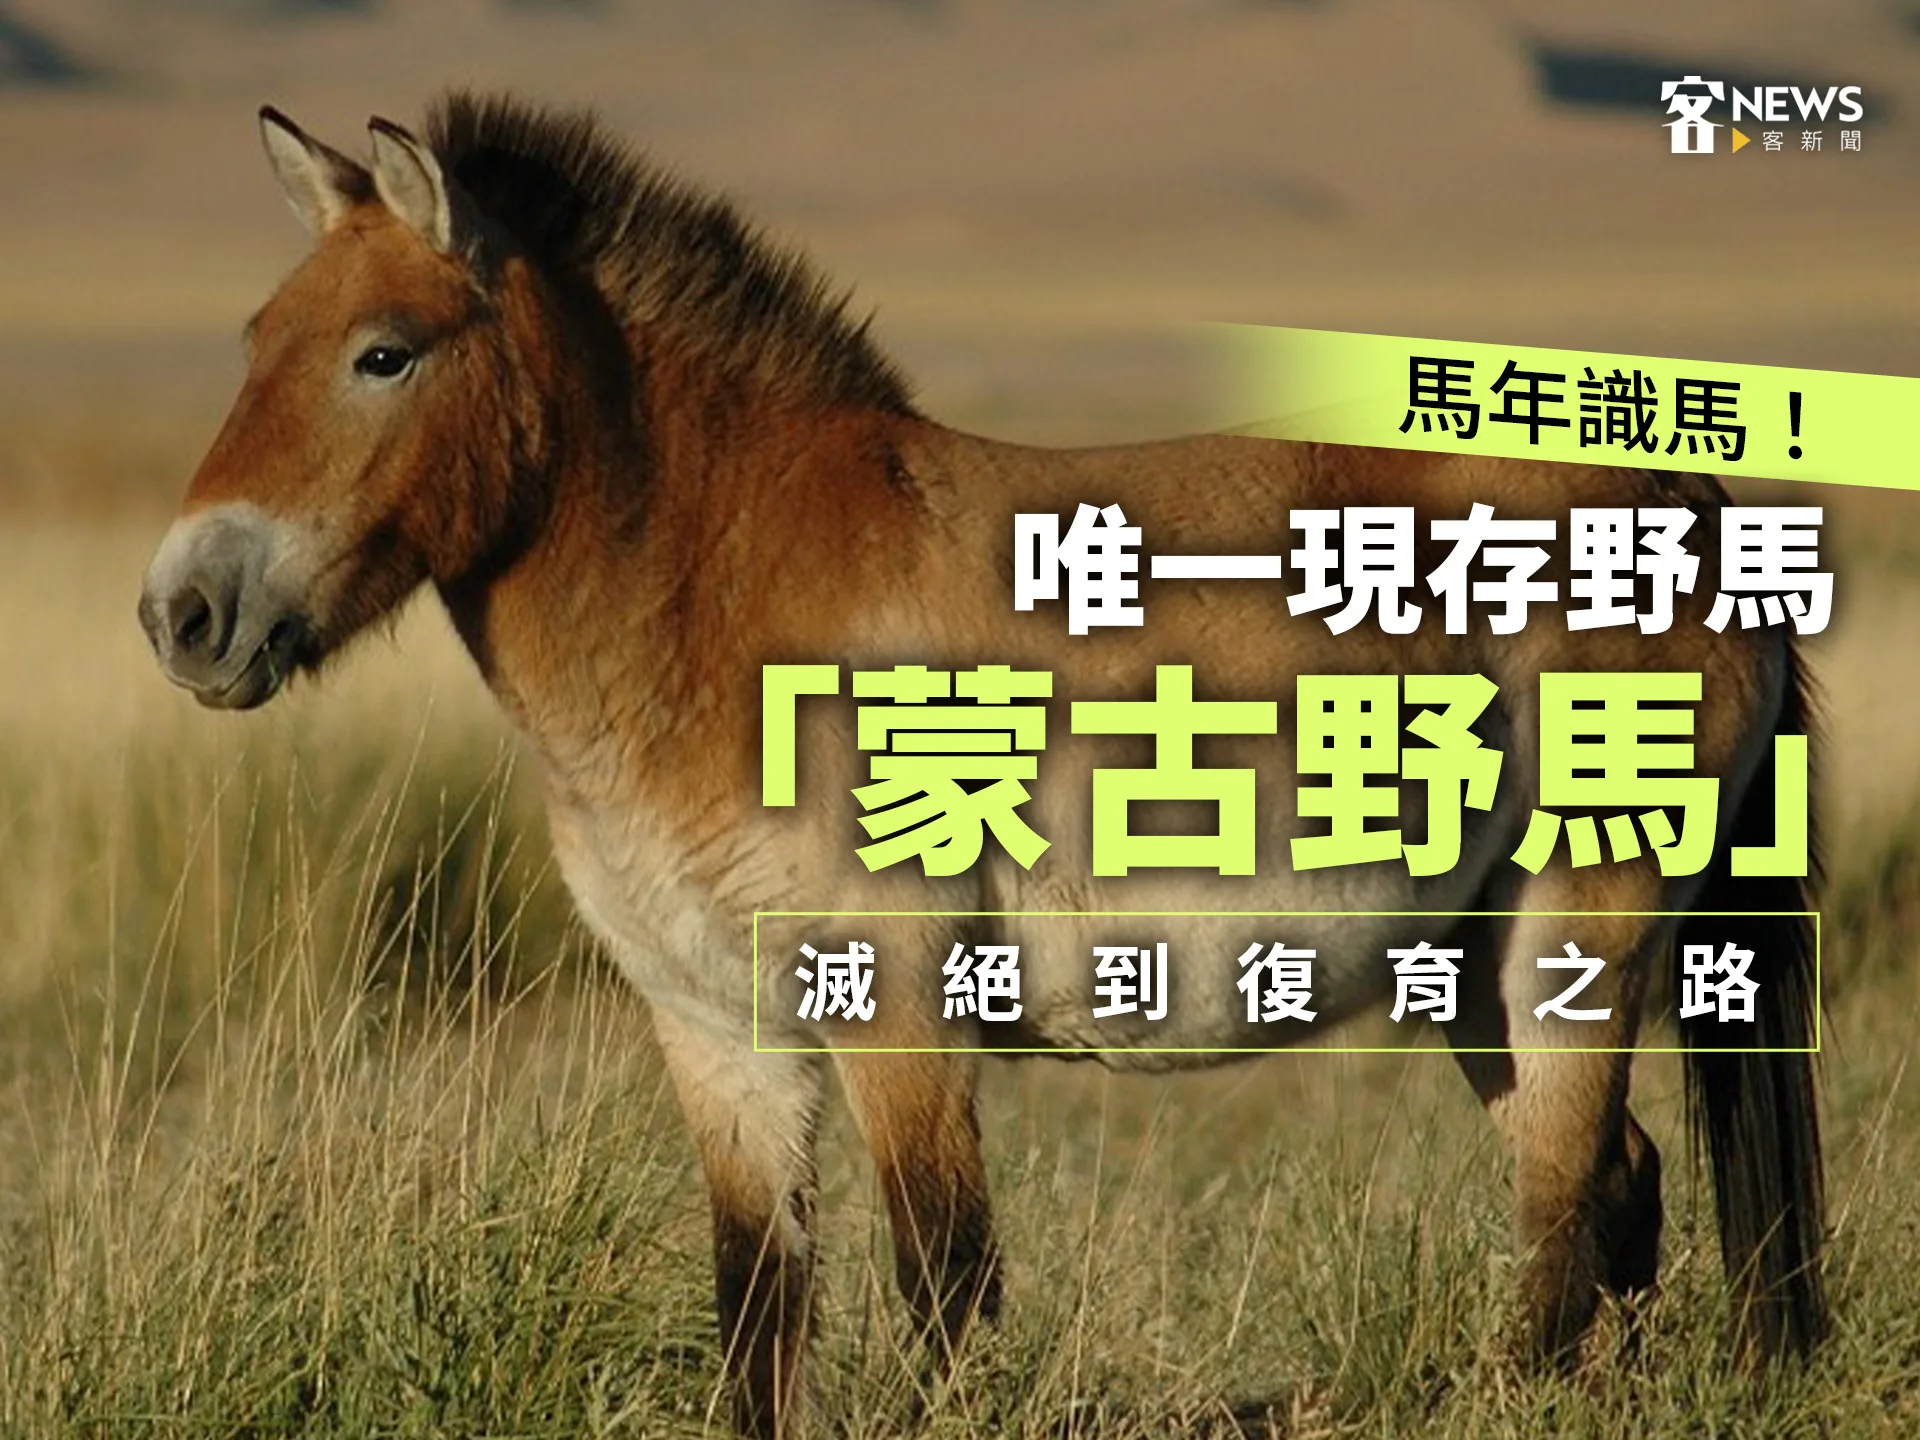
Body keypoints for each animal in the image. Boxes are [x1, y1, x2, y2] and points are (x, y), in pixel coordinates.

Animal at [138, 92, 1824, 1437]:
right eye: (253, 344)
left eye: (383, 355)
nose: (184, 614)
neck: (719, 599)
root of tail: (1691, 506)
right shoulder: (716, 1029)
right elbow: (758, 1314)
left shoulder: (898, 1015)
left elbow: (943, 1291)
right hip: (1470, 965)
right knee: (1613, 1192)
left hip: (1572, 938)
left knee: (1568, 1220)